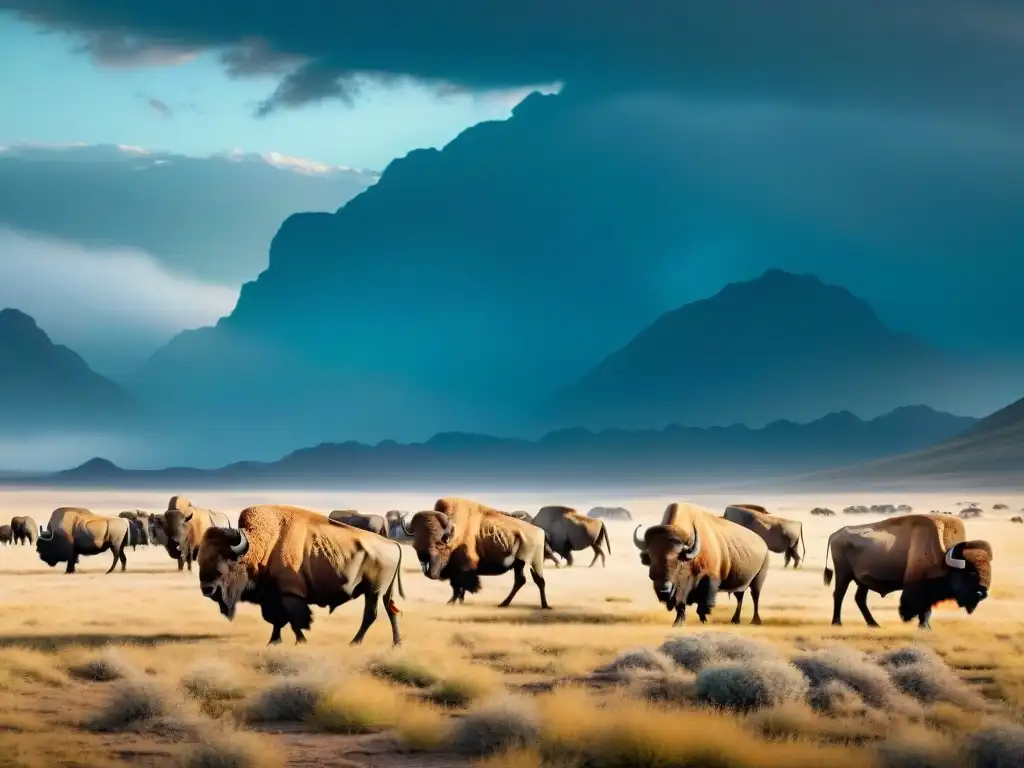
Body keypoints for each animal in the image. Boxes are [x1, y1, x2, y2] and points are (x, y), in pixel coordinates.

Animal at [195, 505, 403, 651]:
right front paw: (274, 642)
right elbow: (277, 620)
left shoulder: (290, 595)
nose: (207, 589)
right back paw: (396, 644)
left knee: (371, 615)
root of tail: (393, 544)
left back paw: (355, 642)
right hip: (385, 591)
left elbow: (294, 620)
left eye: (226, 560)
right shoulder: (272, 598)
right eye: (200, 559)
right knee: (391, 611)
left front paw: (300, 641)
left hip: (373, 591)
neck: (262, 547)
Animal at [403, 499, 557, 614]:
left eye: (439, 544)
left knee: (539, 581)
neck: (455, 533)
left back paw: (545, 606)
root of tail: (541, 531)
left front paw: (452, 602)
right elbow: (457, 587)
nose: (428, 570)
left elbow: (460, 585)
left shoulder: (464, 567)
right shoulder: (455, 572)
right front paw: (457, 601)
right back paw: (504, 604)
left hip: (535, 562)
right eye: (415, 545)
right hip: (519, 564)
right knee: (520, 581)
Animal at [630, 505, 770, 626]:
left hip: (758, 579)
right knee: (739, 597)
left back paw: (755, 621)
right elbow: (680, 605)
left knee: (755, 597)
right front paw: (678, 623)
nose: (663, 590)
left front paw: (704, 621)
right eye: (651, 559)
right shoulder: (681, 589)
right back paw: (735, 620)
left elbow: (703, 605)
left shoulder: (710, 579)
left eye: (677, 562)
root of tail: (763, 544)